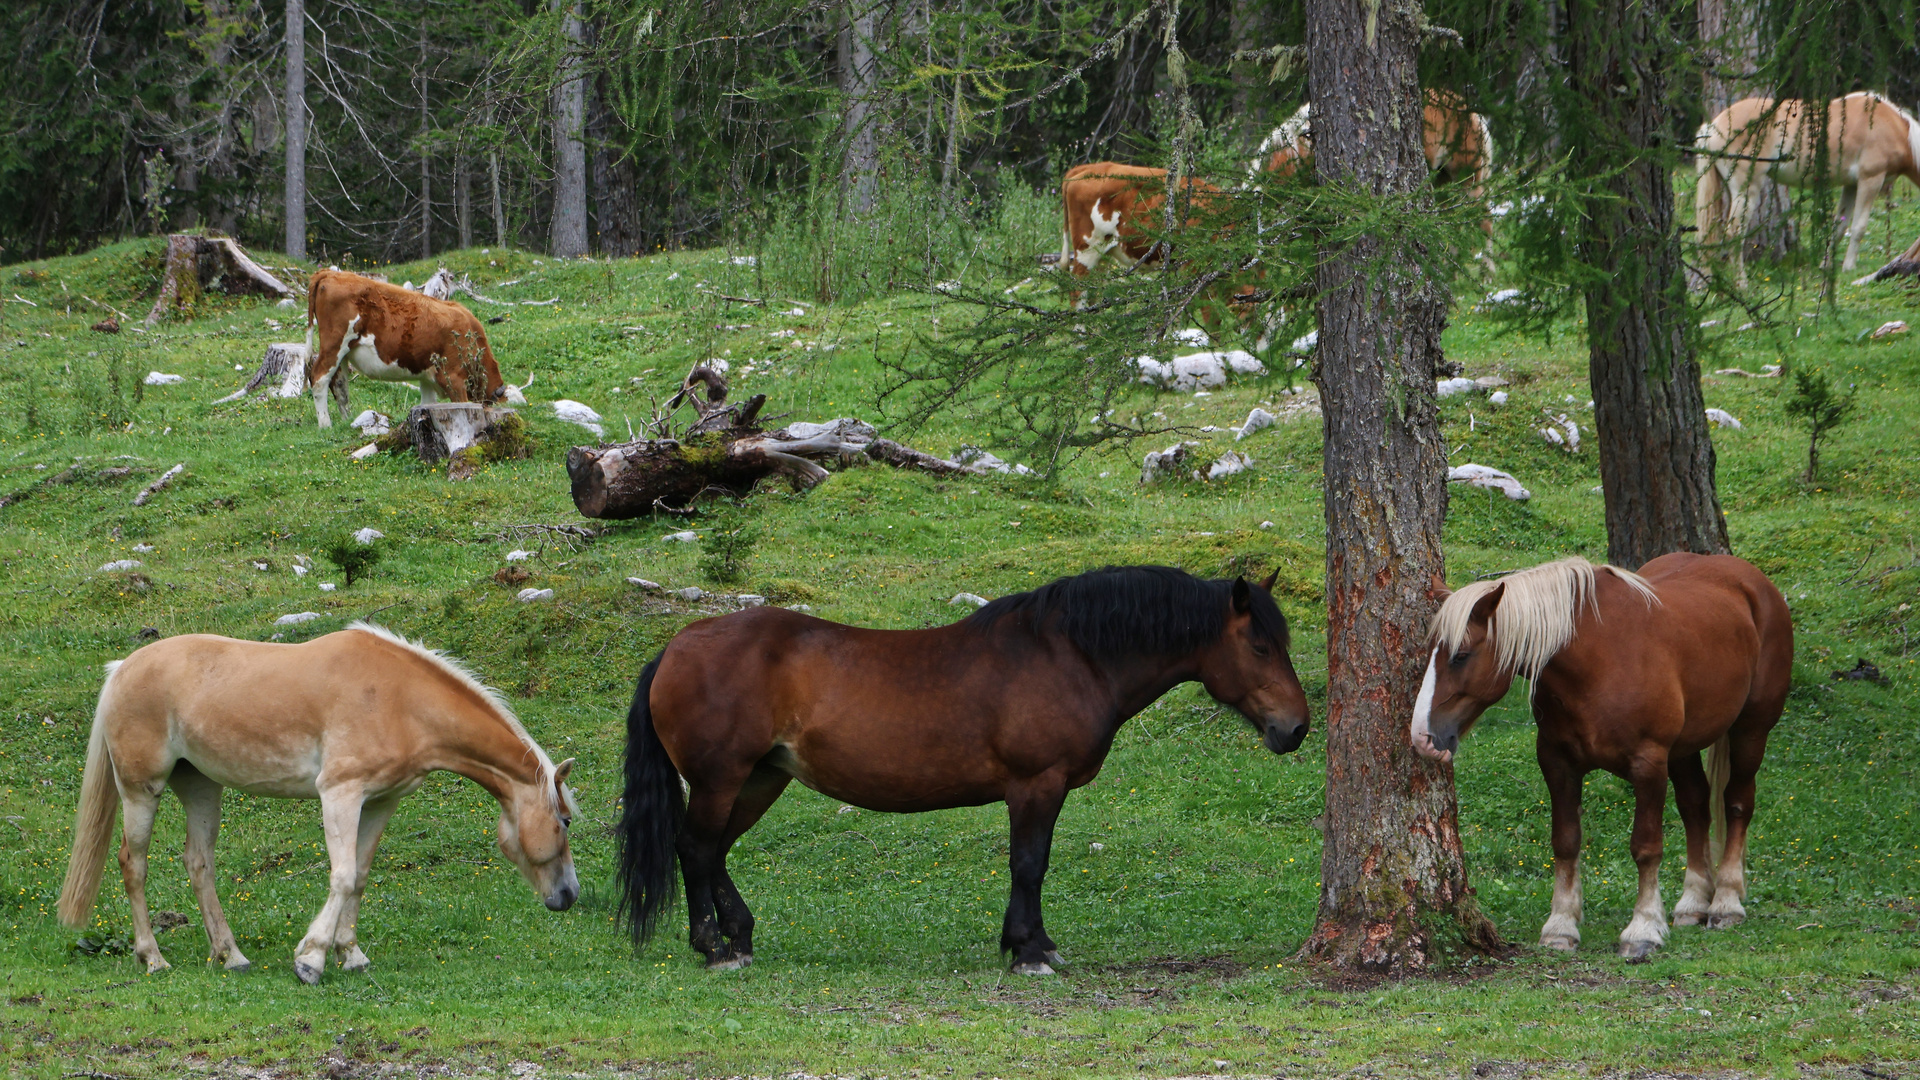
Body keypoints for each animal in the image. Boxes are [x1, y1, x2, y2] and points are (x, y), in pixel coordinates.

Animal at [58, 618, 576, 980]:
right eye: (566, 821)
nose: (569, 895)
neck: (401, 699)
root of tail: (121, 669)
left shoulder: (381, 801)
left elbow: (360, 876)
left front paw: (351, 953)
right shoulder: (340, 794)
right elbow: (342, 876)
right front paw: (312, 959)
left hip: (201, 786)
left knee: (199, 863)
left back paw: (231, 956)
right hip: (141, 790)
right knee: (133, 864)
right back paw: (153, 959)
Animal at [303, 267, 506, 426]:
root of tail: (329, 273)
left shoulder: (427, 377)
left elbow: (428, 402)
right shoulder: (453, 377)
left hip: (343, 352)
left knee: (339, 384)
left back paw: (346, 420)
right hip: (334, 344)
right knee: (319, 378)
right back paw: (325, 424)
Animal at [622, 564, 1313, 968]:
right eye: (1260, 645)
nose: (1297, 728)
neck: (1069, 654)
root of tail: (677, 647)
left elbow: (1031, 865)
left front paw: (1033, 943)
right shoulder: (1036, 785)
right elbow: (1029, 864)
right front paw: (1029, 949)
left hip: (760, 778)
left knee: (714, 852)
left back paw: (739, 936)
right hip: (722, 779)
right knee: (696, 848)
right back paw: (714, 947)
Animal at [1405, 553, 1789, 957]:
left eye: (1461, 656)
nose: (1423, 736)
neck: (1599, 660)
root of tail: (1752, 580)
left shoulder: (1649, 764)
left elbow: (1646, 847)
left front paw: (1643, 928)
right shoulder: (1557, 763)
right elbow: (1565, 841)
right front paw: (1561, 925)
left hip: (1750, 730)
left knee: (1737, 803)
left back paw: (1726, 901)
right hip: (1684, 749)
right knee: (1695, 807)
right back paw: (1693, 902)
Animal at [1697, 90, 1920, 278]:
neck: (1894, 126)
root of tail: (1713, 126)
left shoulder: (1851, 185)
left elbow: (1839, 227)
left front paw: (1825, 266)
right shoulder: (1870, 179)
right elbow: (1858, 227)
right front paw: (1849, 268)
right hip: (1746, 191)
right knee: (1734, 233)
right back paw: (1742, 284)